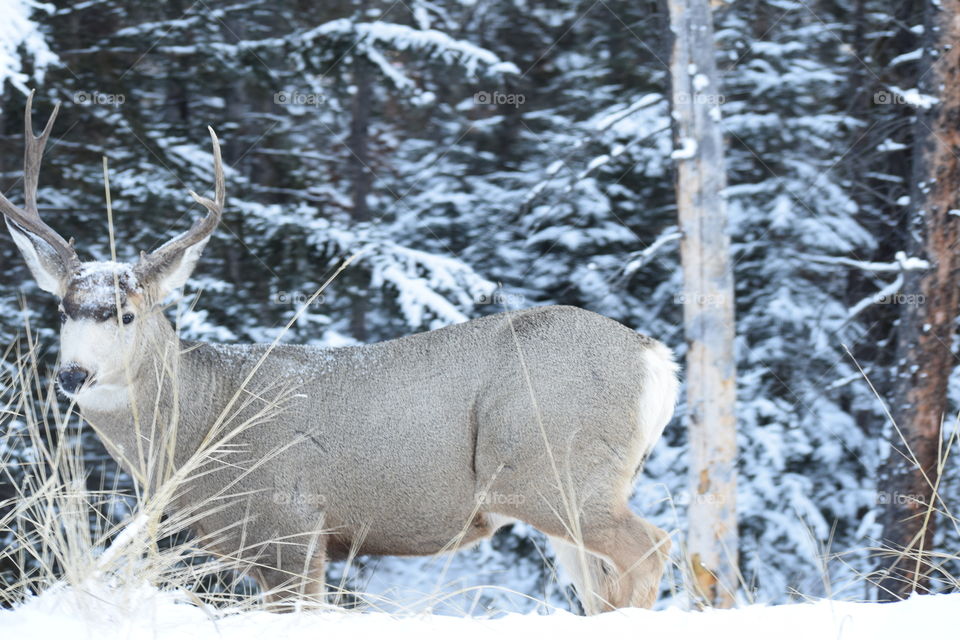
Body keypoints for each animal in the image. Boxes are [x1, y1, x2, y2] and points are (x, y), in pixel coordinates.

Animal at [2, 93, 678, 614]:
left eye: (126, 313)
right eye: (62, 309)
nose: (73, 374)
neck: (202, 424)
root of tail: (656, 358)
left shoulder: (290, 526)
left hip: (553, 471)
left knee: (652, 548)